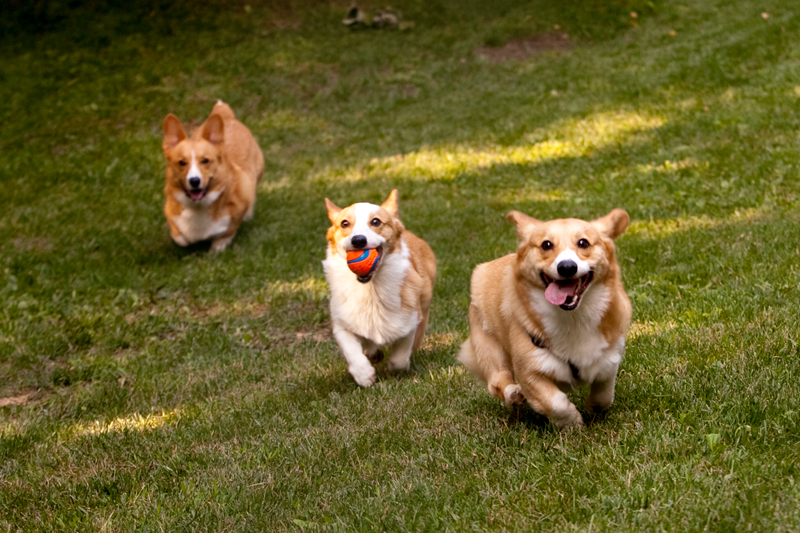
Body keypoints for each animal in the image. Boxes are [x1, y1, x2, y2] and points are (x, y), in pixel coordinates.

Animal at [161, 101, 264, 251]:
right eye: (182, 162)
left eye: (205, 160)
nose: (194, 181)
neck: (198, 206)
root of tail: (225, 115)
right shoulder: (171, 212)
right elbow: (180, 238)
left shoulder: (240, 205)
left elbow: (225, 233)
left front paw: (217, 248)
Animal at [322, 191, 438, 386]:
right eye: (344, 223)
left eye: (376, 222)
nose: (358, 240)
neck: (370, 289)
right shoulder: (341, 323)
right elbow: (352, 351)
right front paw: (364, 375)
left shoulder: (411, 321)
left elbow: (400, 357)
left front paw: (396, 369)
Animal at [456, 208, 632, 428]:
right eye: (546, 245)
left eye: (583, 243)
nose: (567, 267)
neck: (573, 317)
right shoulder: (530, 371)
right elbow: (556, 403)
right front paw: (573, 424)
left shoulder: (609, 357)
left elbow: (604, 393)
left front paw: (593, 410)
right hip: (488, 346)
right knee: (497, 379)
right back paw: (512, 394)